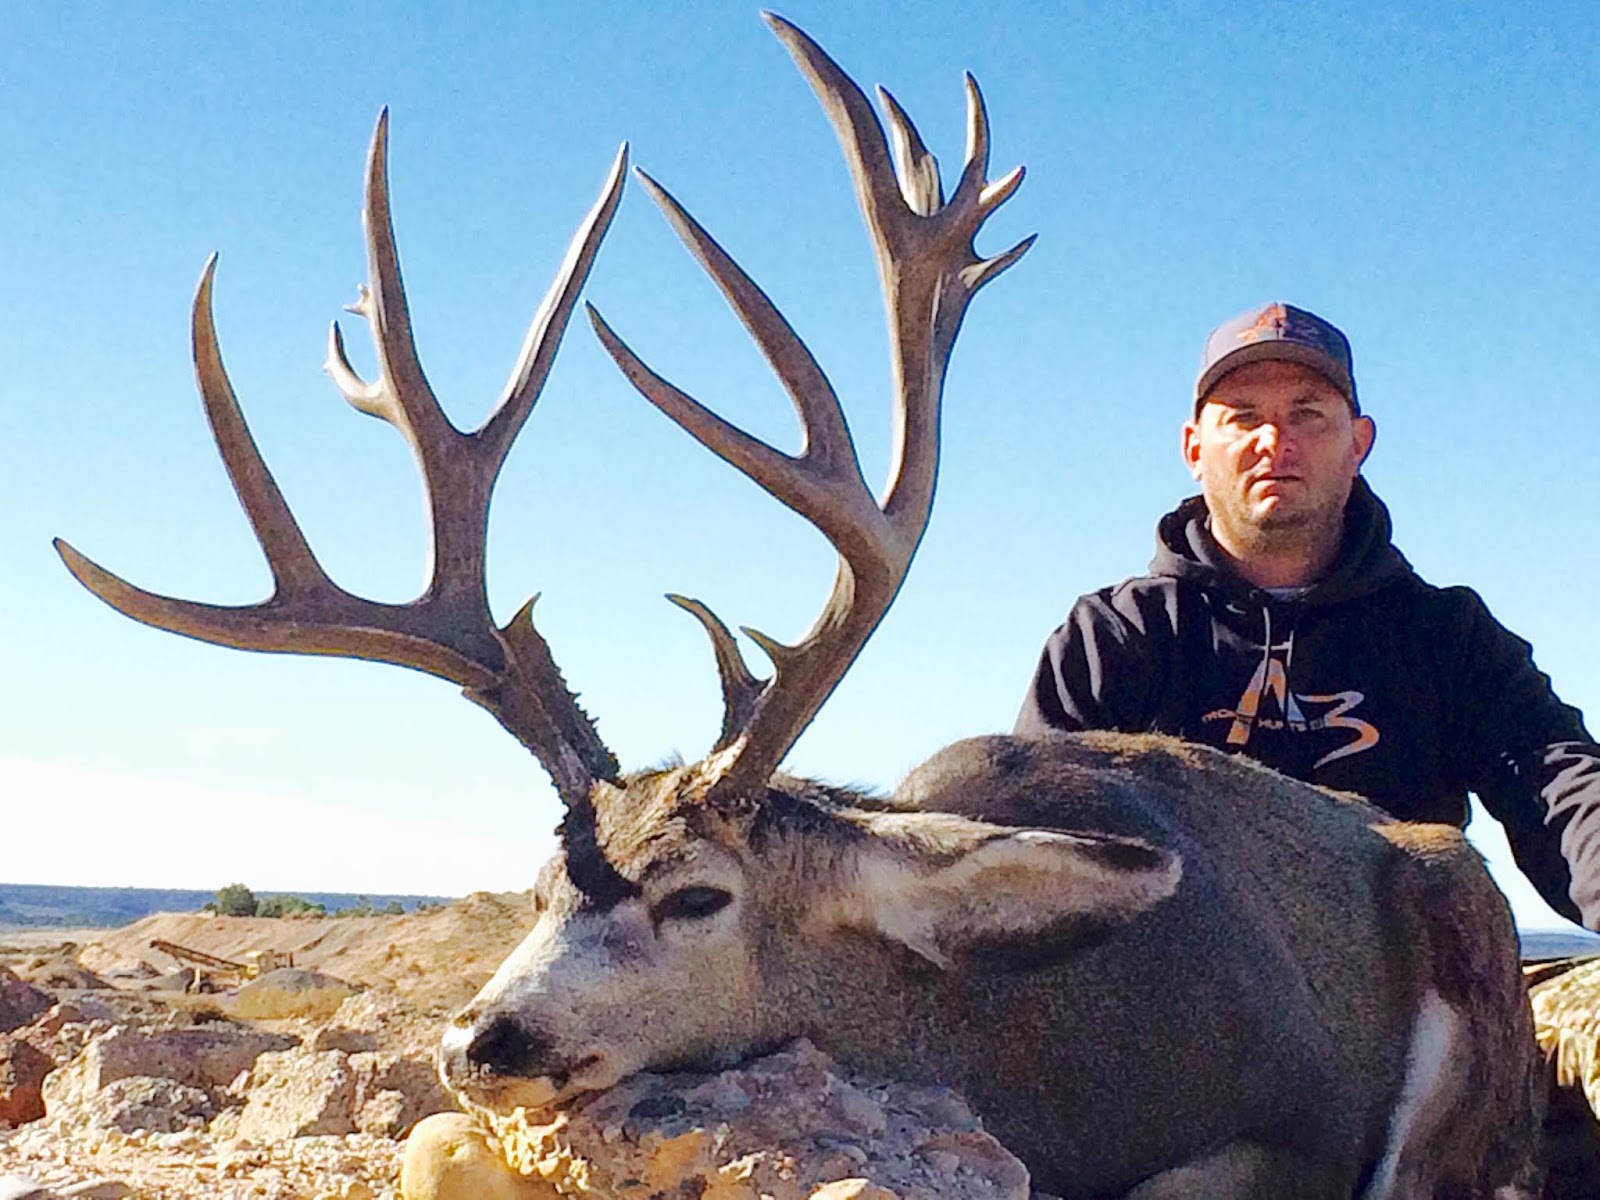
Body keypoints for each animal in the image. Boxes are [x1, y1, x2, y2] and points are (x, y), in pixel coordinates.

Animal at [55, 14, 1542, 1199]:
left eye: (700, 899)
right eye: (536, 887)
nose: (481, 1040)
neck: (992, 1037)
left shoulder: (1281, 1131)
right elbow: (427, 1148)